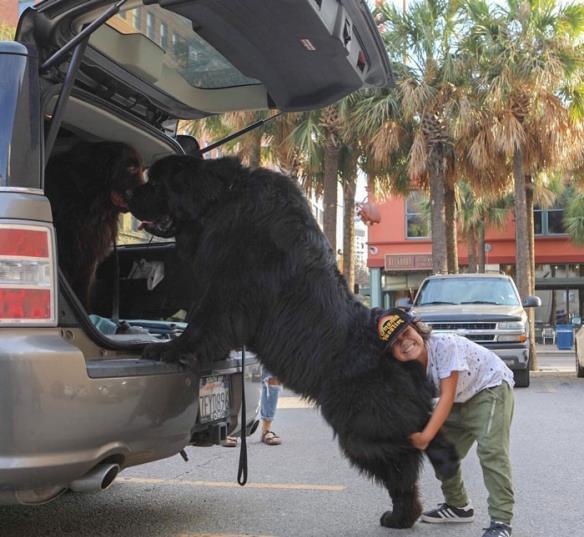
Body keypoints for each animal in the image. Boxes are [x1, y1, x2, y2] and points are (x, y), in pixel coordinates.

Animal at [126, 155, 456, 528]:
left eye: (156, 182)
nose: (128, 192)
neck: (222, 197)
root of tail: (402, 356)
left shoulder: (227, 290)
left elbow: (202, 324)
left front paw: (169, 349)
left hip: (362, 425)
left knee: (403, 462)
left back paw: (401, 514)